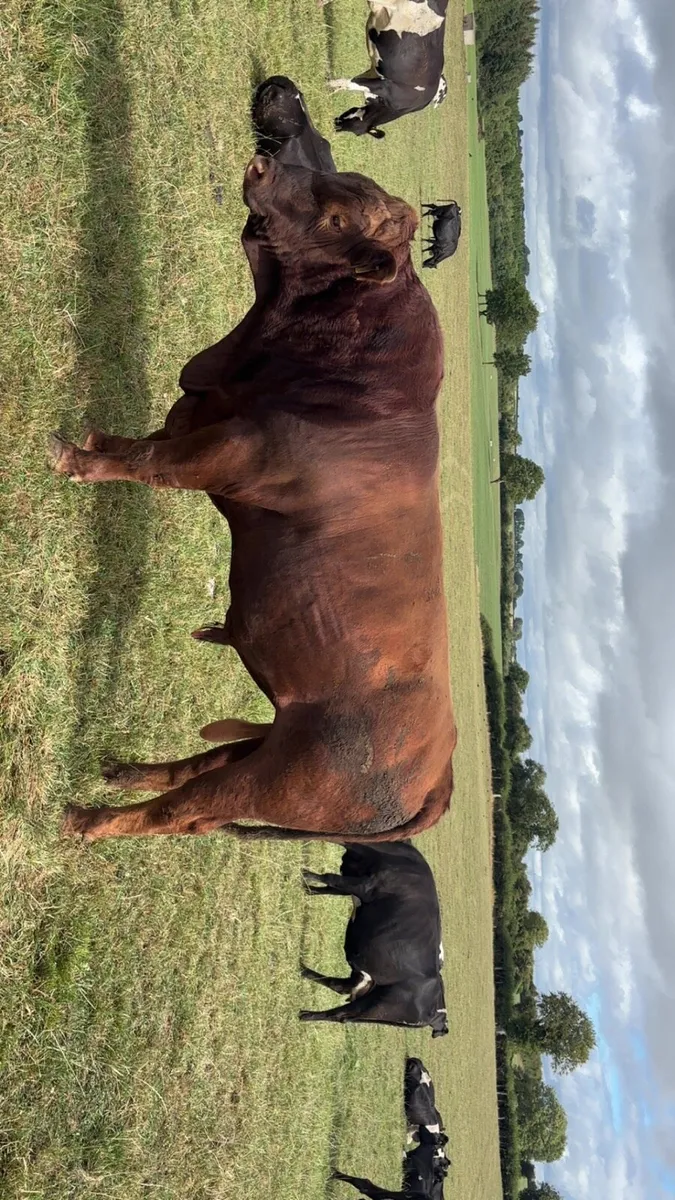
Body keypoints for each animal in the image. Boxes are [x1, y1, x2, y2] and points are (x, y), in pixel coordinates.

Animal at [50, 151, 456, 845]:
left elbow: (152, 464)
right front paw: (98, 440)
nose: (263, 162)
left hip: (282, 780)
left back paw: (90, 819)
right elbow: (145, 444)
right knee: (203, 766)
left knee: (184, 812)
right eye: (337, 179)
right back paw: (125, 771)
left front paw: (76, 459)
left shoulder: (233, 451)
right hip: (266, 739)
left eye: (338, 218)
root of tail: (440, 777)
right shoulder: (204, 409)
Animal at [299, 843, 448, 1037]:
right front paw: (305, 885)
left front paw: (303, 874)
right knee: (339, 992)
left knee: (338, 1013)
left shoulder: (365, 885)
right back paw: (302, 972)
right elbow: (328, 887)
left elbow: (329, 878)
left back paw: (304, 1014)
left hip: (377, 1005)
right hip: (370, 993)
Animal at [331, 0, 449, 139]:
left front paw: (331, 88)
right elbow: (351, 83)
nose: (336, 125)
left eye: (357, 133)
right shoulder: (385, 86)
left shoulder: (379, 79)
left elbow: (352, 82)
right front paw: (328, 84)